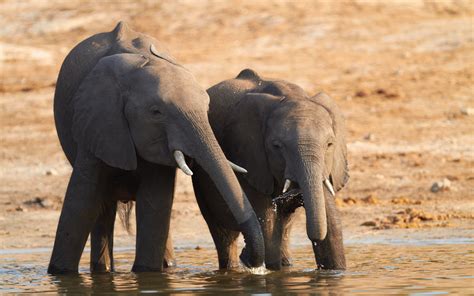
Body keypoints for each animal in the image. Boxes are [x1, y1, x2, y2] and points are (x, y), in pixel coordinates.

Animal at [47, 22, 264, 274]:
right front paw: (59, 274)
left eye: (207, 107)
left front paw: (147, 273)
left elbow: (154, 205)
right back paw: (103, 271)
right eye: (156, 112)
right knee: (102, 209)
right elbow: (80, 204)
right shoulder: (98, 122)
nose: (247, 257)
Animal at [191, 69, 350, 270]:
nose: (246, 254)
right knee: (224, 237)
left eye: (329, 144)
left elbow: (331, 222)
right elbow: (266, 223)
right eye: (277, 146)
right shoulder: (249, 159)